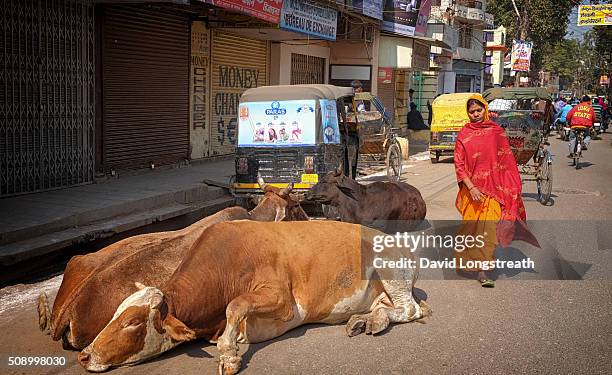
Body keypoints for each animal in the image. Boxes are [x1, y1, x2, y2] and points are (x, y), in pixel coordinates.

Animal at [77, 220, 430, 374]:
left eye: (133, 322)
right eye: (114, 314)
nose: (83, 355)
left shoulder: (283, 301)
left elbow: (236, 305)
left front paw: (229, 355)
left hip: (390, 270)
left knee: (411, 310)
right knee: (391, 308)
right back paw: (366, 320)